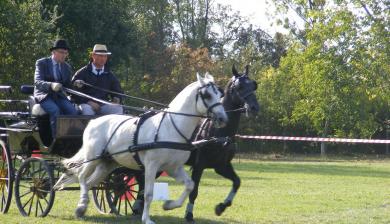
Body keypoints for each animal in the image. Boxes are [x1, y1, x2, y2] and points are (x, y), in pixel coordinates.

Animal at [53, 72, 227, 223]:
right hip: (92, 158)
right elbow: (148, 194)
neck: (171, 128)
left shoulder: (173, 168)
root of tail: (93, 121)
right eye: (207, 95)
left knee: (89, 182)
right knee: (82, 176)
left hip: (107, 164)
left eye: (219, 94)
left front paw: (169, 205)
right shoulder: (151, 166)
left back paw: (82, 208)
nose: (223, 118)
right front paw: (147, 219)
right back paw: (81, 206)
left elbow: (189, 185)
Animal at [184, 65, 260, 222]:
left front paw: (221, 207)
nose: (254, 107)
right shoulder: (199, 166)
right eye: (240, 86)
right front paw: (189, 214)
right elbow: (194, 191)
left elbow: (237, 182)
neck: (219, 132)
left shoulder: (221, 166)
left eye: (254, 85)